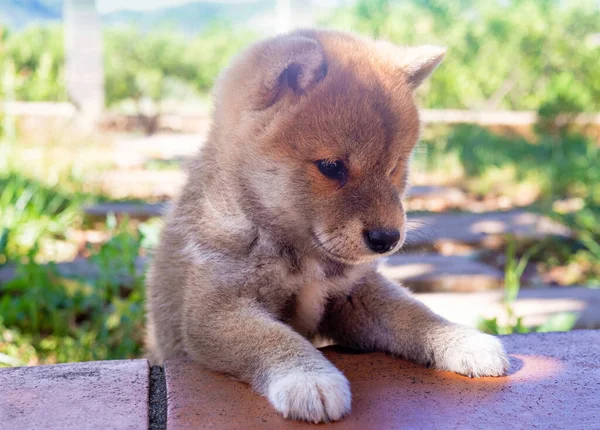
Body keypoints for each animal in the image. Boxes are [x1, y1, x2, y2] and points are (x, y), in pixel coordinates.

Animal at [144, 29, 506, 424]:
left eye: (394, 167)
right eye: (332, 167)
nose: (388, 238)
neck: (302, 257)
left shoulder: (354, 293)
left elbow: (413, 313)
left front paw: (462, 338)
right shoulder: (215, 310)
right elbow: (272, 337)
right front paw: (308, 378)